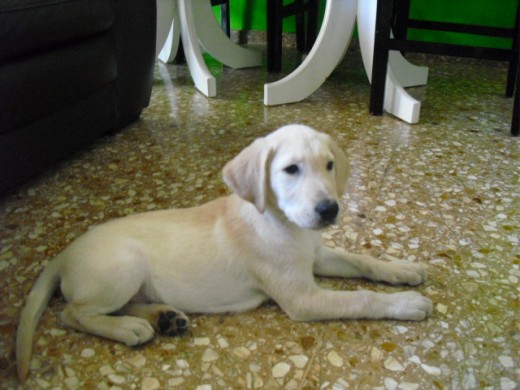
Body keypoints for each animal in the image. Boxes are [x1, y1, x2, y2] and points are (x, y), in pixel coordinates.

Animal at [15, 125, 430, 380]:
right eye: (290, 169)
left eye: (329, 165)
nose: (330, 210)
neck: (284, 225)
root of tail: (64, 253)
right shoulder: (302, 298)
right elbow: (361, 297)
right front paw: (406, 303)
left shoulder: (317, 255)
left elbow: (362, 261)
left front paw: (402, 269)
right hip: (124, 265)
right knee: (72, 314)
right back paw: (129, 328)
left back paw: (163, 318)